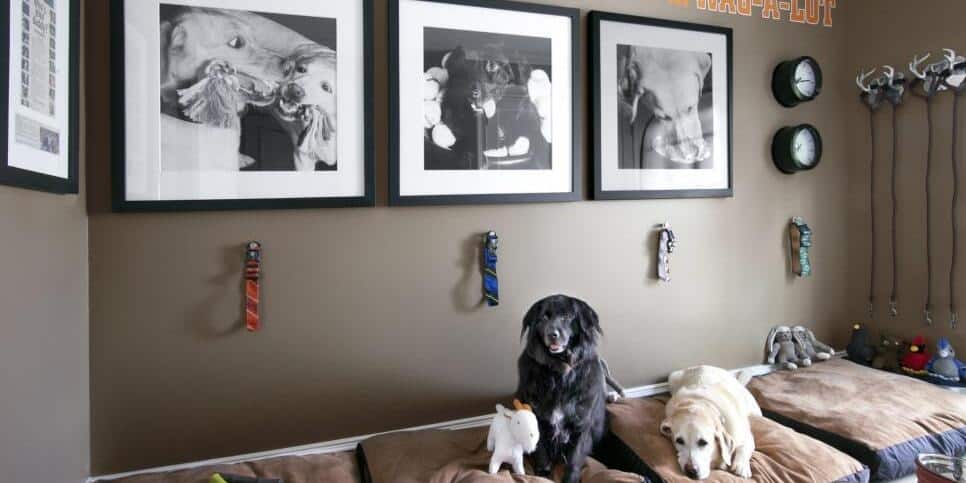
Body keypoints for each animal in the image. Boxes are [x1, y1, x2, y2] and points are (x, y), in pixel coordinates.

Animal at [520, 294, 608, 483]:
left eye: (567, 316)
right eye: (544, 318)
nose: (552, 335)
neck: (560, 373)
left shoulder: (582, 424)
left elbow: (575, 458)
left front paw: (571, 478)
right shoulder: (538, 418)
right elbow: (541, 451)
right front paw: (542, 473)